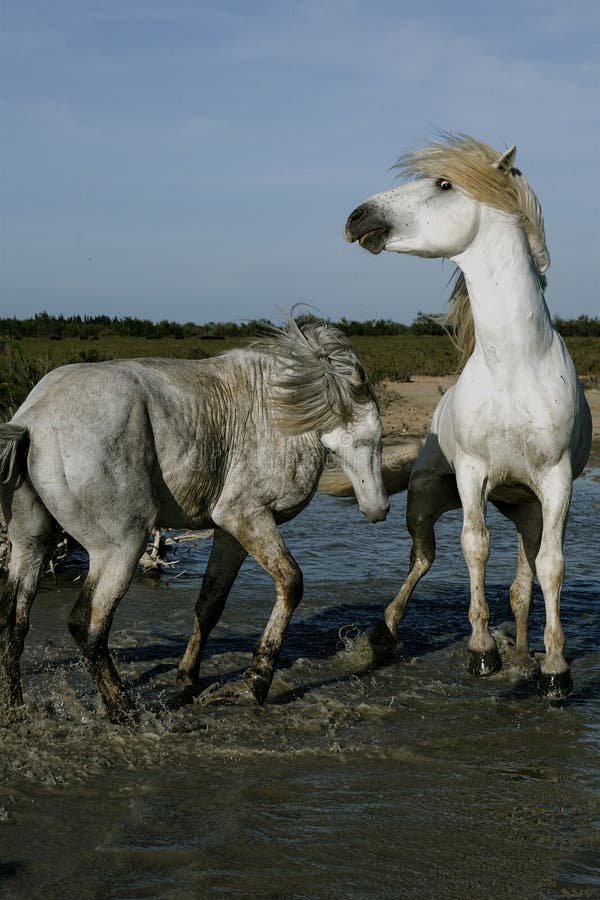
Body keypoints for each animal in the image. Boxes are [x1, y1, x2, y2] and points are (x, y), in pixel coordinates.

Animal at [0, 320, 386, 720]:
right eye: (369, 439)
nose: (379, 509)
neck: (277, 411)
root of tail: (32, 420)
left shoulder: (231, 532)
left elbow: (210, 603)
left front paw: (187, 677)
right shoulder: (248, 517)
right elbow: (291, 583)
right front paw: (256, 681)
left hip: (32, 543)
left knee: (14, 621)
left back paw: (17, 708)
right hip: (121, 547)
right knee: (87, 625)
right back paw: (124, 711)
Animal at [344, 135, 592, 696]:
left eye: (443, 184)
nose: (357, 217)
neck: (516, 363)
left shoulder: (556, 481)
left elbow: (551, 567)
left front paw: (554, 669)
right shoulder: (473, 473)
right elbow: (474, 547)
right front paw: (481, 652)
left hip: (527, 509)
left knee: (523, 582)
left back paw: (523, 654)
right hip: (425, 498)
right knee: (423, 558)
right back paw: (384, 632)